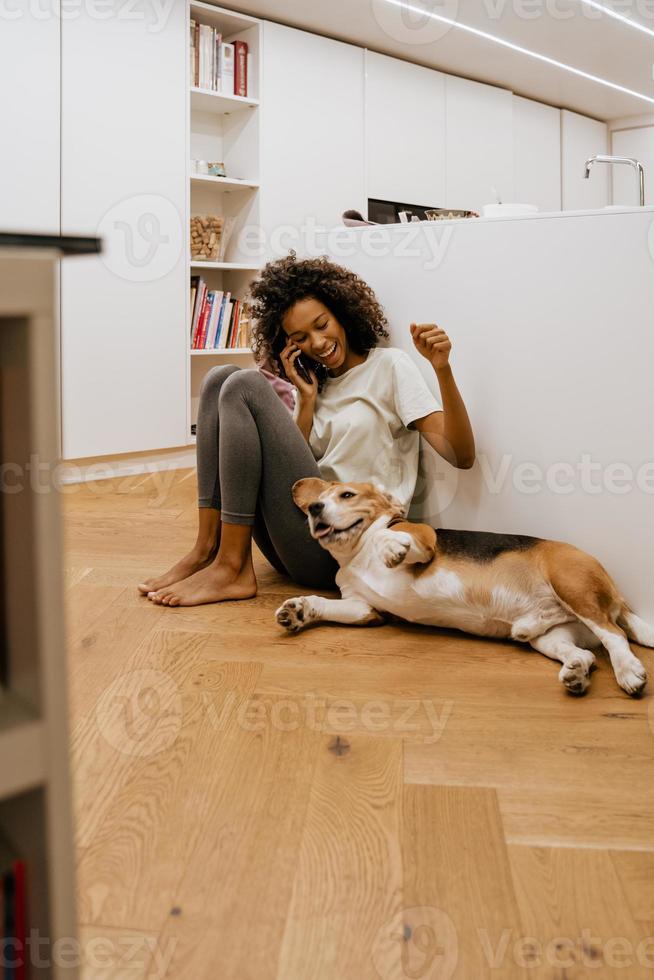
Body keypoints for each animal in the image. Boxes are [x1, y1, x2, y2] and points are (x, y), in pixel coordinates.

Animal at [276, 476, 652, 696]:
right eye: (319, 501)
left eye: (347, 494)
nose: (315, 508)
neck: (356, 554)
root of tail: (616, 594)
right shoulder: (362, 607)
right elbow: (329, 604)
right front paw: (300, 609)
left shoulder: (423, 540)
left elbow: (389, 534)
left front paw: (390, 547)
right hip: (548, 635)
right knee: (585, 652)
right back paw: (577, 672)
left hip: (572, 586)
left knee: (615, 635)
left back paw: (628, 671)